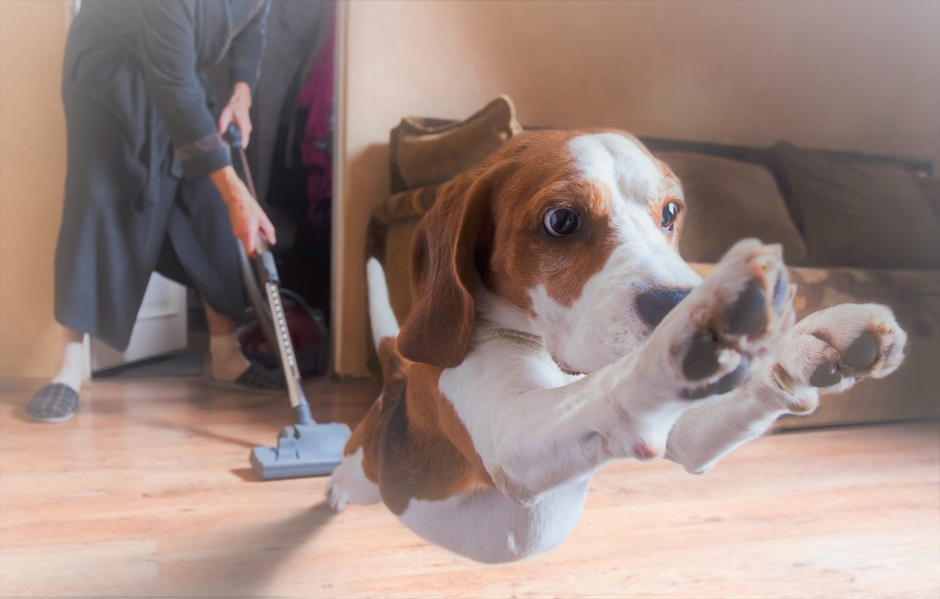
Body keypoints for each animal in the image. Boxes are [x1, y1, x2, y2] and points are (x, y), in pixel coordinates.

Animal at [327, 129, 907, 564]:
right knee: (346, 469)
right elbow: (616, 383)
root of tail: (395, 385)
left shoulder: (682, 432)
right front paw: (691, 334)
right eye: (560, 220)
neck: (547, 357)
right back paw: (332, 490)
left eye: (670, 212)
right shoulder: (511, 434)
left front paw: (810, 339)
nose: (680, 301)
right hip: (366, 470)